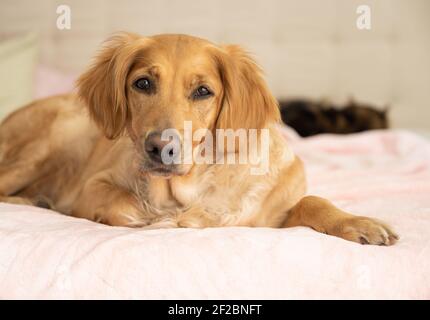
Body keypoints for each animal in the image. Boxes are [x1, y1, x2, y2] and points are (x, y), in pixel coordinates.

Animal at [0, 32, 398, 245]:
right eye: (143, 83)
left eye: (203, 91)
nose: (160, 147)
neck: (192, 186)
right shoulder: (93, 186)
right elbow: (126, 204)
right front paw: (166, 218)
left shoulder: (275, 208)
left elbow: (313, 201)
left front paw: (360, 223)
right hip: (51, 139)